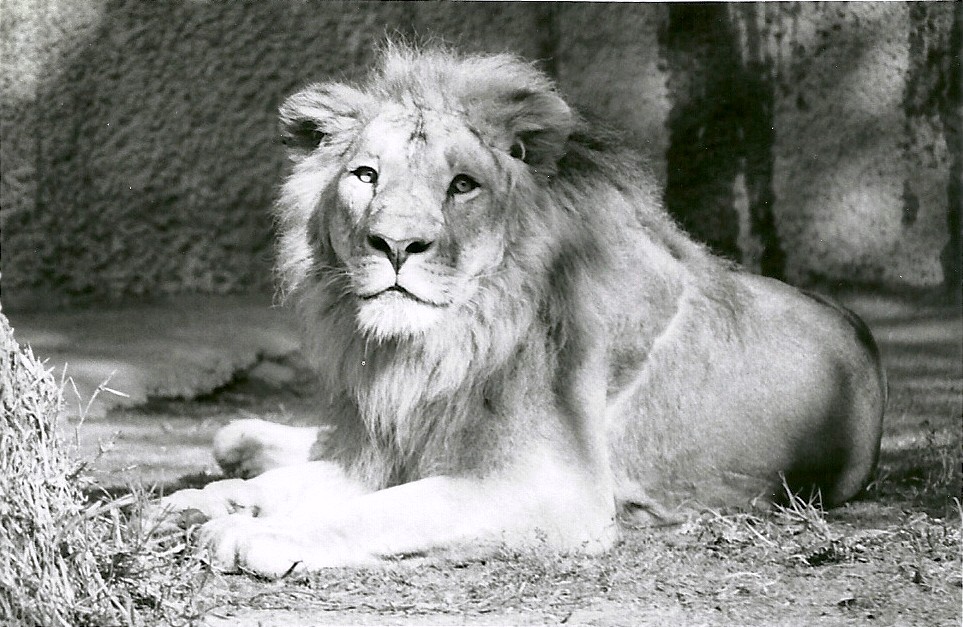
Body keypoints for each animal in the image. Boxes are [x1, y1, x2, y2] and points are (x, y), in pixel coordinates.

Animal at [157, 43, 886, 578]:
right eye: (366, 175)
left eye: (462, 186)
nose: (395, 244)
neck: (445, 344)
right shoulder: (391, 447)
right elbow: (329, 482)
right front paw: (196, 504)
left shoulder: (556, 488)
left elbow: (395, 508)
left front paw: (252, 532)